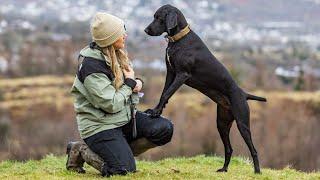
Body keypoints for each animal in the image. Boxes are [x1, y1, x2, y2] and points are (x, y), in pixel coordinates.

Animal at [144, 4, 266, 174]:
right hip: (222, 124)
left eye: (159, 18)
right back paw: (224, 169)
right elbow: (164, 93)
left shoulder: (182, 74)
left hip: (242, 123)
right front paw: (157, 110)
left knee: (253, 149)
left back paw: (257, 171)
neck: (179, 39)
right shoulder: (171, 73)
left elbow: (166, 94)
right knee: (229, 149)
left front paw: (156, 112)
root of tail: (243, 93)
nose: (145, 30)